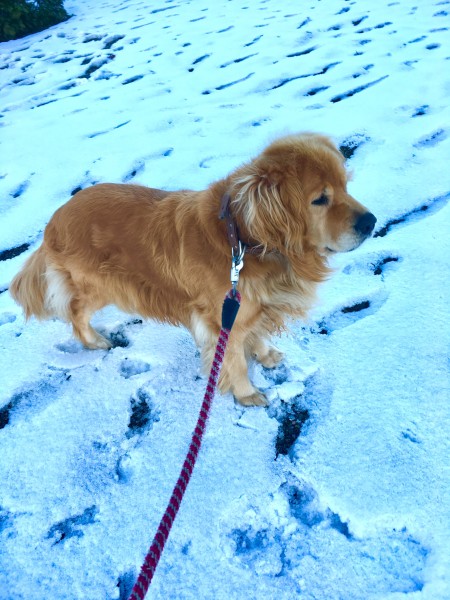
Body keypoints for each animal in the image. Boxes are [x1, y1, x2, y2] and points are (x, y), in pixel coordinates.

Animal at [10, 135, 376, 408]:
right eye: (320, 200)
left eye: (345, 186)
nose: (371, 222)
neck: (242, 239)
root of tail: (53, 220)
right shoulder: (220, 321)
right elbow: (233, 360)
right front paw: (247, 395)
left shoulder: (246, 306)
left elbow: (254, 334)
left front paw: (265, 355)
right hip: (99, 286)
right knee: (75, 312)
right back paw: (94, 341)